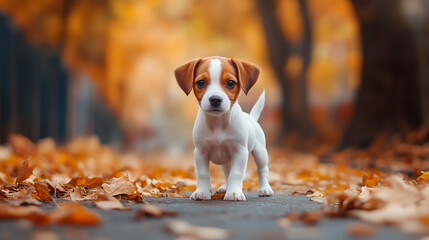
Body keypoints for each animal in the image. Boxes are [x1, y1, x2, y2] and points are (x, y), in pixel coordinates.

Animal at [175, 56, 272, 201]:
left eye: (231, 83)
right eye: (201, 82)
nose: (215, 99)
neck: (218, 123)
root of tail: (252, 118)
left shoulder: (239, 151)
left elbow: (236, 174)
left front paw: (234, 192)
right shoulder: (200, 151)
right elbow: (203, 174)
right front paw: (202, 192)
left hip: (260, 152)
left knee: (262, 170)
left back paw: (264, 188)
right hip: (226, 160)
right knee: (227, 172)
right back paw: (225, 187)